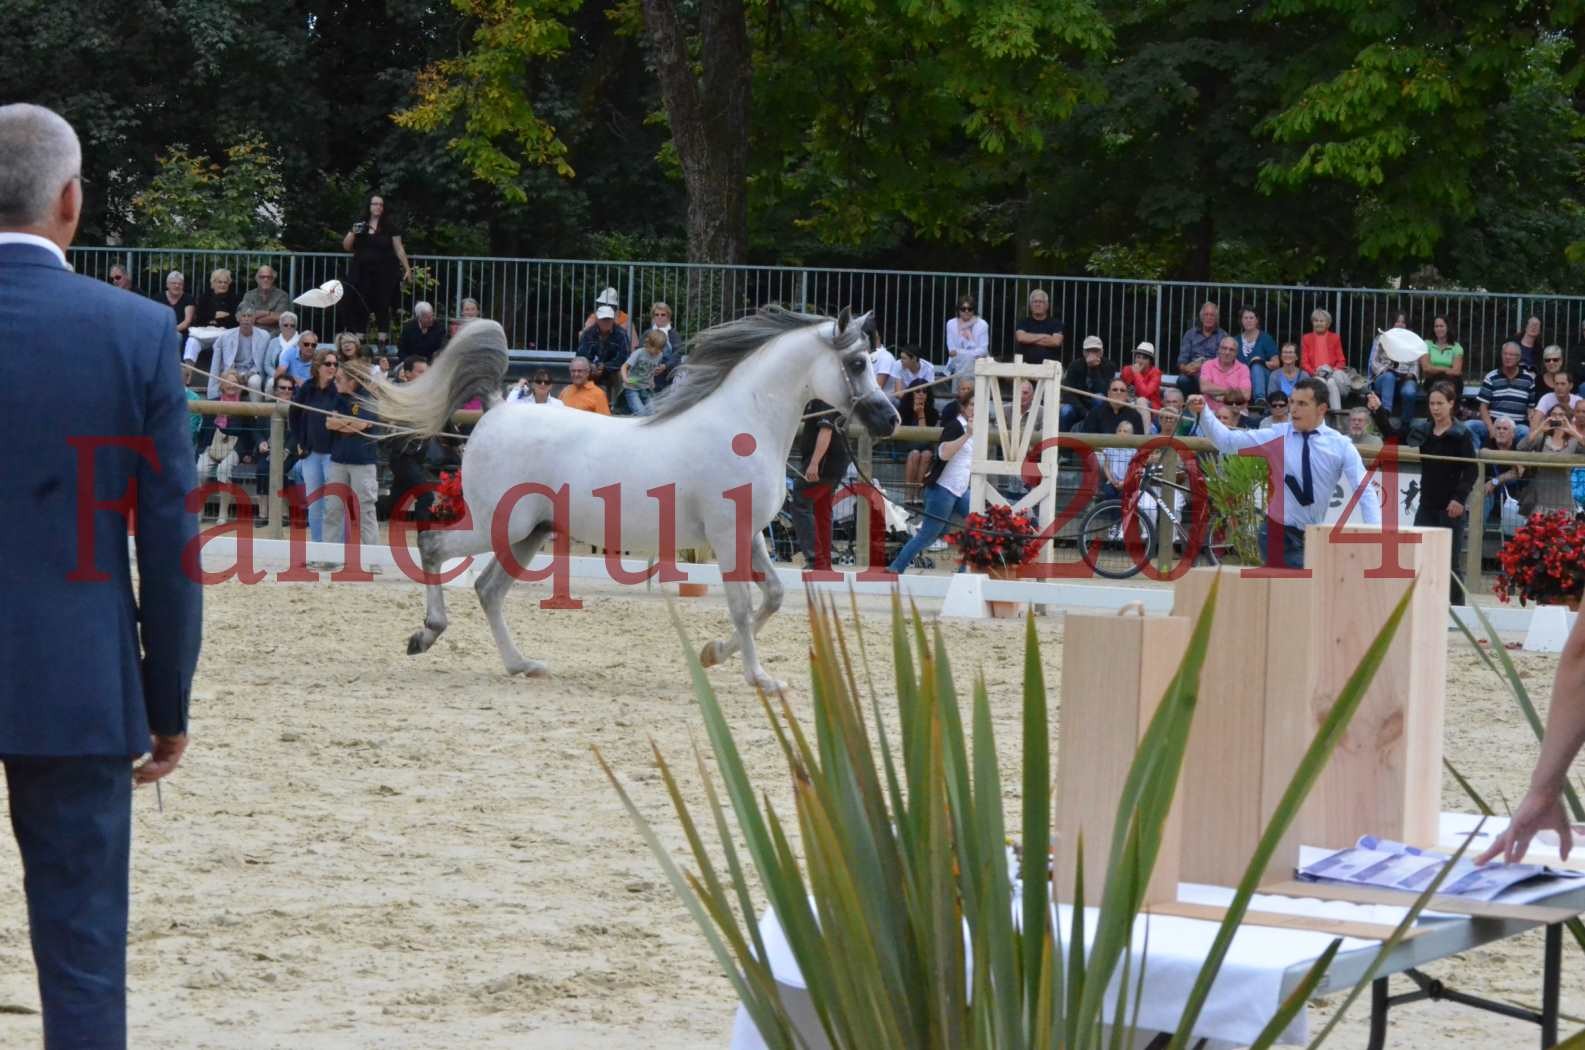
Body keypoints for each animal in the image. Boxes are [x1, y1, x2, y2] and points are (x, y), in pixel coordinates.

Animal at [362, 309, 900, 694]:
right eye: (856, 363)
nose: (890, 419)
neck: (744, 426)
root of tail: (496, 409)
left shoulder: (750, 536)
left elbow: (773, 596)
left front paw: (712, 654)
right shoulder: (729, 537)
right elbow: (744, 606)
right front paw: (759, 678)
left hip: (529, 534)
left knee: (488, 590)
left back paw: (522, 665)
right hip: (499, 525)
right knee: (433, 546)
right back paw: (426, 634)